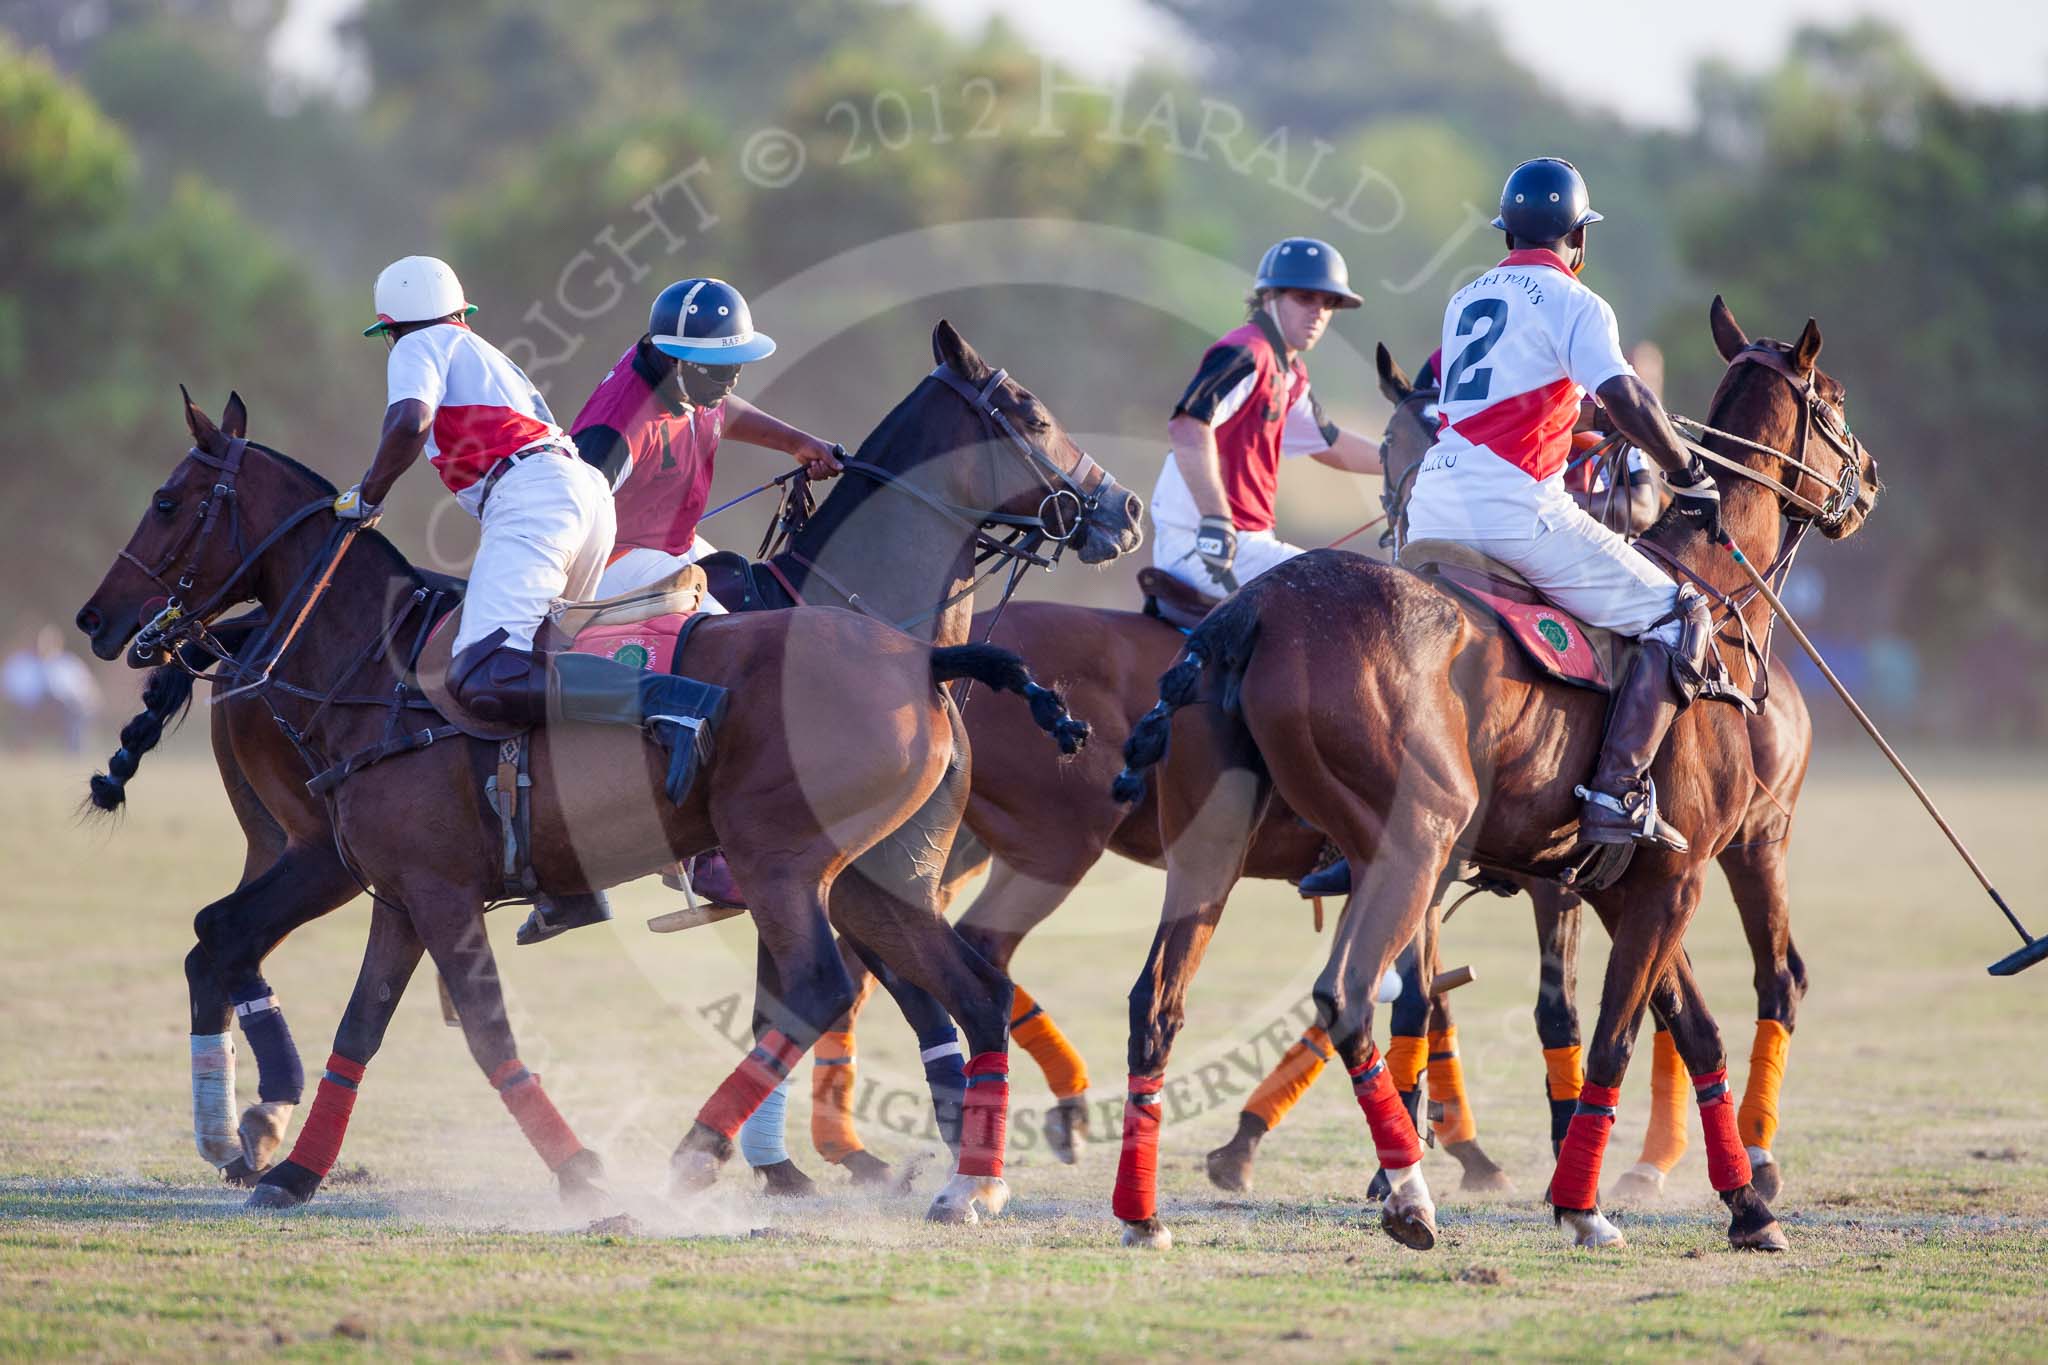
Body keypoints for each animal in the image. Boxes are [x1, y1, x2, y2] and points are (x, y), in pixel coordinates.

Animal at [75, 323, 1138, 1227]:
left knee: (869, 987)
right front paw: (299, 1174)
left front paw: (605, 1173)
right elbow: (374, 1027)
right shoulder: (409, 888)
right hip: (825, 870)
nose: (95, 617)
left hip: (795, 863)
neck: (362, 660)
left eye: (165, 501)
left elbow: (479, 1030)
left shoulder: (430, 888)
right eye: (1032, 411)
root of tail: (926, 660)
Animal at [1105, 296, 1875, 1252]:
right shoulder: (1673, 875)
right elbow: (1613, 1033)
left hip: (1215, 851)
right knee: (1347, 995)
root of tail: (1246, 611)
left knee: (1157, 1003)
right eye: (1833, 402)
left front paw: (1746, 1208)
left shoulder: (1622, 882)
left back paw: (1143, 1213)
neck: (1716, 598)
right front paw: (1581, 1203)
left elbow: (1688, 1031)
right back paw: (1409, 1196)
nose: (1869, 480)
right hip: (1423, 840)